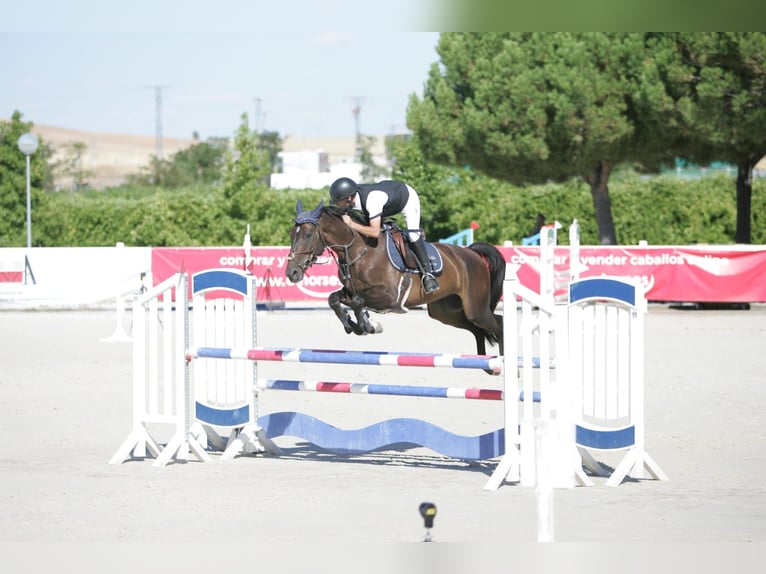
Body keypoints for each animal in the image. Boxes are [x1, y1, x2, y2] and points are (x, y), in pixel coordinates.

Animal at [284, 200, 508, 376]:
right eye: (292, 234)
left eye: (308, 235)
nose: (292, 272)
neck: (358, 251)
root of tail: (471, 253)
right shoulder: (349, 292)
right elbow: (335, 299)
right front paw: (355, 325)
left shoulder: (390, 298)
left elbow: (358, 302)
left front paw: (367, 326)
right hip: (446, 312)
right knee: (478, 329)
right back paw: (487, 365)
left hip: (475, 307)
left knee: (498, 323)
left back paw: (504, 363)